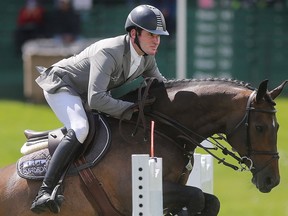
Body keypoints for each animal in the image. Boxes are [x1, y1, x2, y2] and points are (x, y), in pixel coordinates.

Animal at [0, 78, 286, 216]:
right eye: (260, 127)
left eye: (277, 127)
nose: (271, 180)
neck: (162, 129)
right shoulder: (132, 193)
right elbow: (196, 196)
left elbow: (208, 201)